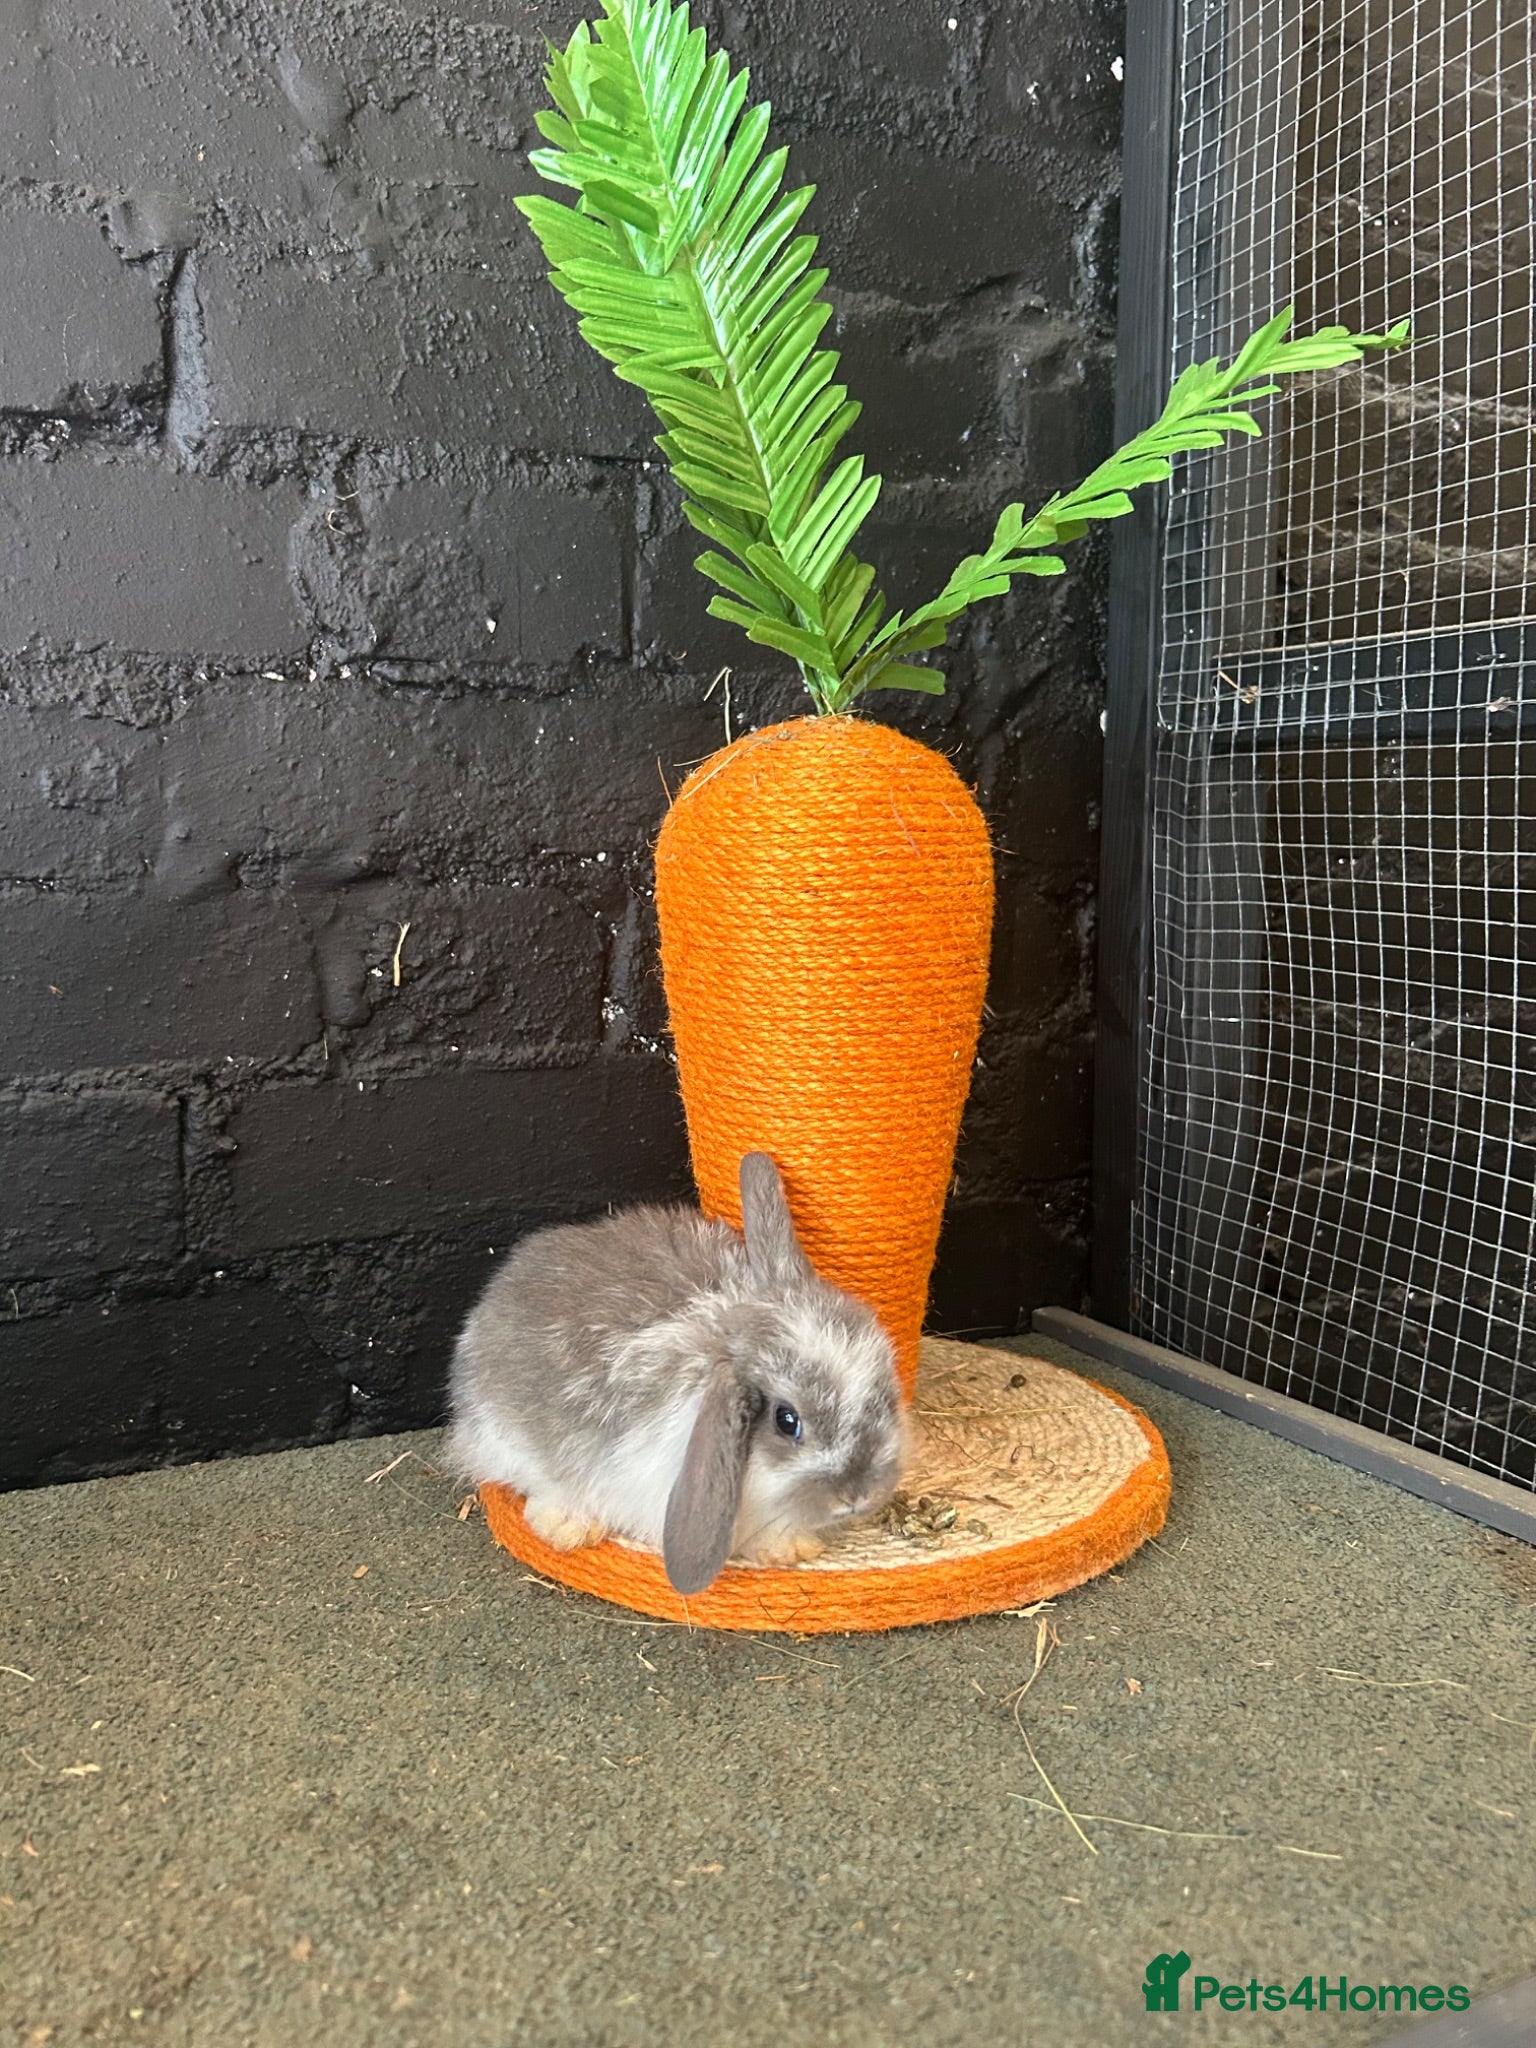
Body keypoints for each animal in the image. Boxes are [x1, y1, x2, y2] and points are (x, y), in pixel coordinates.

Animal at [445, 1152, 909, 1595]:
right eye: (787, 1420)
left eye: (884, 1397)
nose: (856, 1495)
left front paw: (792, 1548)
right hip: (503, 1435)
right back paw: (569, 1526)